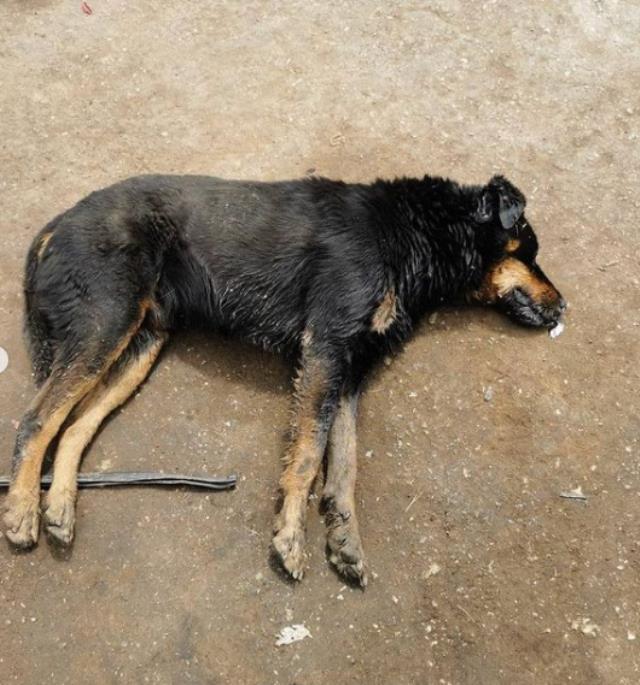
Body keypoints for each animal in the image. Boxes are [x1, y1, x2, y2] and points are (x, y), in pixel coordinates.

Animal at [3, 171, 564, 584]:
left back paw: (58, 508)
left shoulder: (349, 371)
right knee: (37, 419)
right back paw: (22, 510)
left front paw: (344, 541)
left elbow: (344, 466)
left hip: (139, 346)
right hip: (107, 322)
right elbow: (309, 455)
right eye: (528, 253)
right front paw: (290, 538)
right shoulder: (325, 348)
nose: (564, 307)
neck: (412, 232)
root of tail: (59, 222)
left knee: (74, 426)